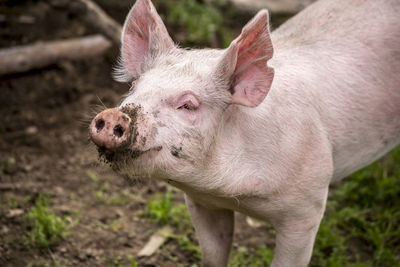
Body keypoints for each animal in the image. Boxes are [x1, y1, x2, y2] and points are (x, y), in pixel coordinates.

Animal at [90, 0, 400, 266]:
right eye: (134, 88)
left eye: (188, 105)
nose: (112, 114)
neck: (233, 194)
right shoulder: (201, 202)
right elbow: (213, 256)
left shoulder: (307, 208)